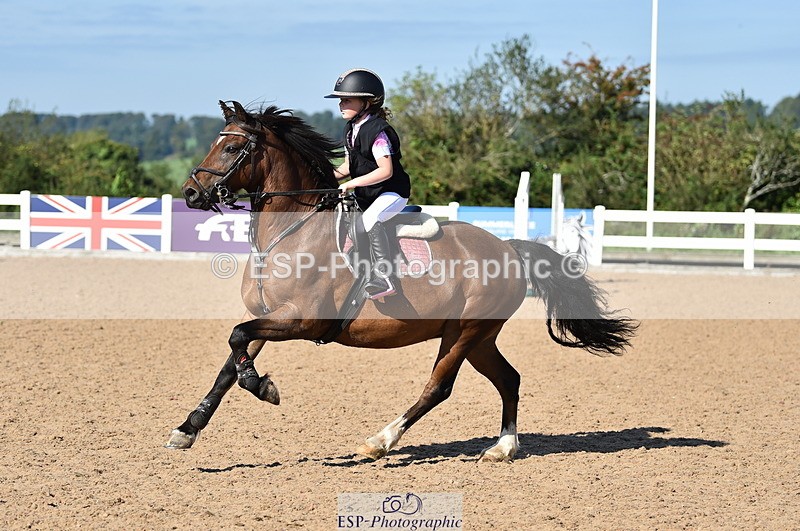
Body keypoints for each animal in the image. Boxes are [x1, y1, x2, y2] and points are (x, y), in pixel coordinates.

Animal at [168, 100, 637, 462]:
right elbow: (230, 362)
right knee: (509, 379)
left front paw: (263, 387)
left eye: (232, 147)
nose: (190, 193)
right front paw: (188, 428)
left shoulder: (301, 319)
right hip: (479, 337)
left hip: (465, 332)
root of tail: (509, 249)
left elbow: (237, 341)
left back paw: (380, 441)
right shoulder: (268, 316)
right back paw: (502, 448)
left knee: (438, 388)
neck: (291, 231)